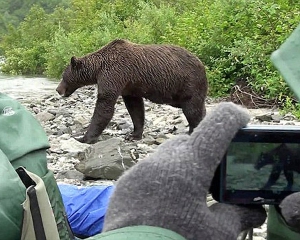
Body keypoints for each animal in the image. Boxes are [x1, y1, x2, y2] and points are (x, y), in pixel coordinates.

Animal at [55, 39, 206, 143]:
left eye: (63, 76)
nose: (57, 89)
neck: (98, 68)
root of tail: (201, 63)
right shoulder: (129, 86)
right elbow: (135, 108)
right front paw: (133, 135)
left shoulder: (114, 73)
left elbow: (104, 105)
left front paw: (83, 137)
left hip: (188, 83)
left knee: (192, 108)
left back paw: (193, 130)